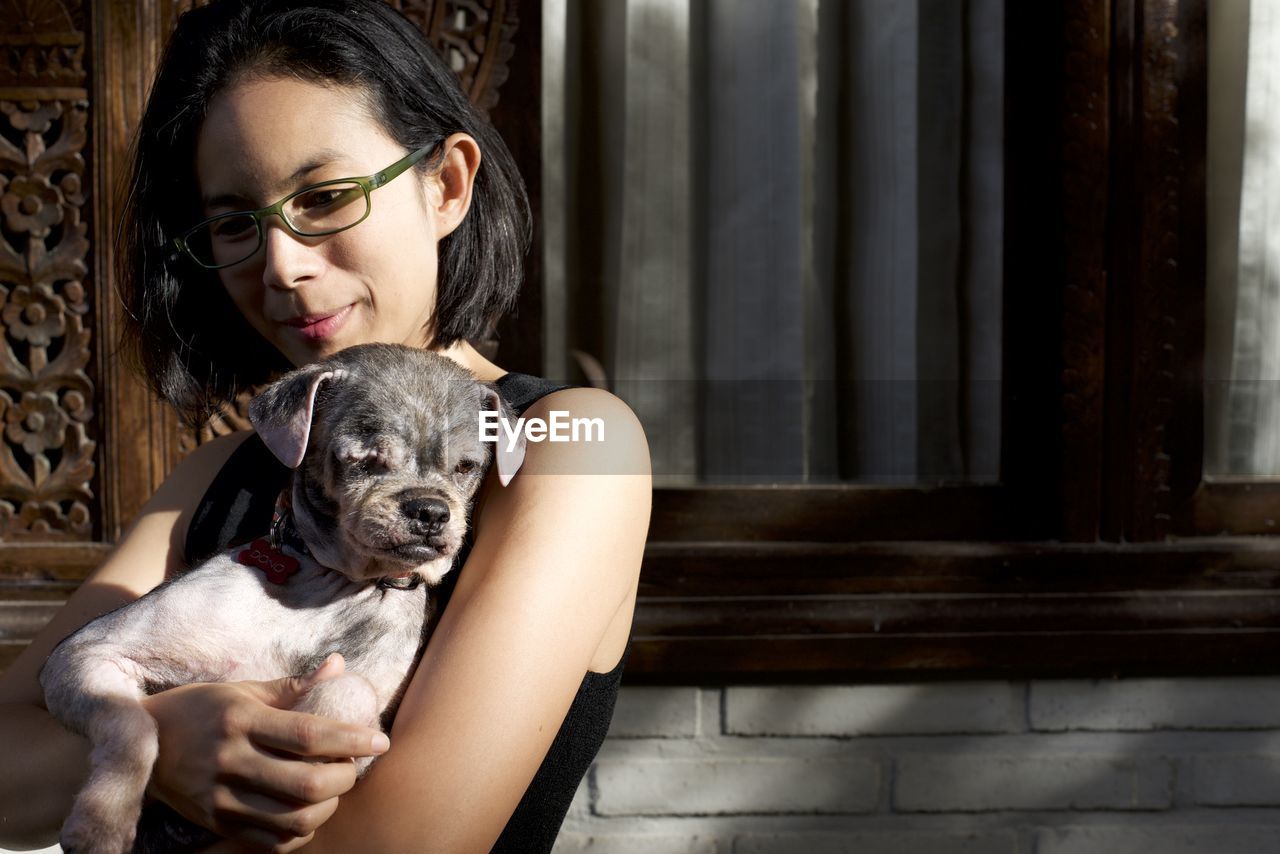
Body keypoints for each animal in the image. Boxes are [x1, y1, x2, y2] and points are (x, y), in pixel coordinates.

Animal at [37, 343, 524, 854]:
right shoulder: (86, 651)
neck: (334, 584)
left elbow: (348, 690)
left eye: (467, 468)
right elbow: (133, 725)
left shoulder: (372, 736)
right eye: (366, 459)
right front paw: (100, 821)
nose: (430, 510)